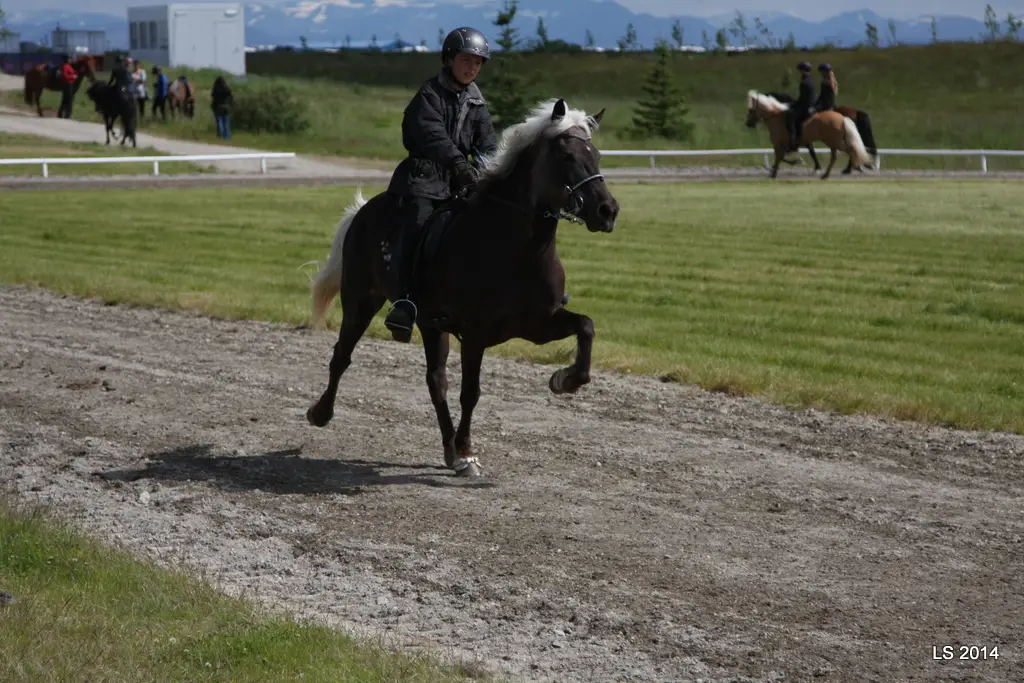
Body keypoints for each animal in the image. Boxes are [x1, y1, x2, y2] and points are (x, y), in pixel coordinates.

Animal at [303, 98, 618, 479]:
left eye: (596, 155)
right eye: (567, 156)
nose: (608, 211)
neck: (514, 246)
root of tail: (362, 212)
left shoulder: (538, 324)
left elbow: (585, 326)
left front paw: (564, 381)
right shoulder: (475, 333)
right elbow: (471, 392)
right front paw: (468, 451)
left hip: (429, 324)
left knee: (436, 381)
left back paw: (449, 448)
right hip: (361, 300)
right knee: (342, 356)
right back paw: (322, 413)